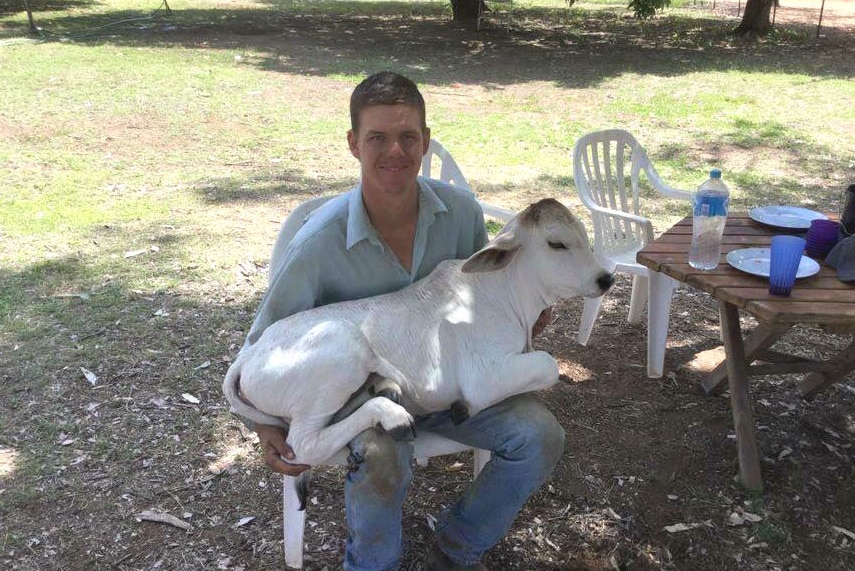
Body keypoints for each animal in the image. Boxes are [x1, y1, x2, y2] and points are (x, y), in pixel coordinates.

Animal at [224, 199, 612, 466]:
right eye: (557, 243)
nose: (605, 279)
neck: (502, 292)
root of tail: (250, 355)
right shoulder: (484, 375)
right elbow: (549, 365)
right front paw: (462, 408)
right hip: (342, 354)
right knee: (306, 443)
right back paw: (390, 414)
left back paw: (385, 389)